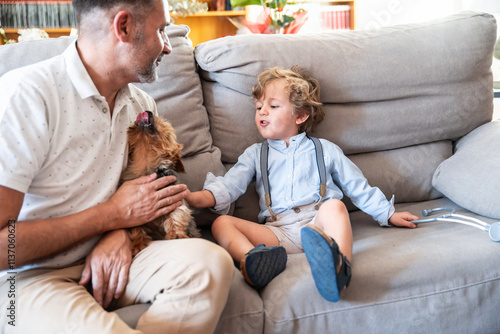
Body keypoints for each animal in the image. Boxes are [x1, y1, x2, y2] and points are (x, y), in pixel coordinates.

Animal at [120, 111, 199, 254]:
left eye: (163, 123)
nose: (148, 111)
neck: (146, 166)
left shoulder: (177, 200)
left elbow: (176, 215)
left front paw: (176, 235)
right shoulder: (133, 213)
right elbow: (135, 227)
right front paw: (138, 243)